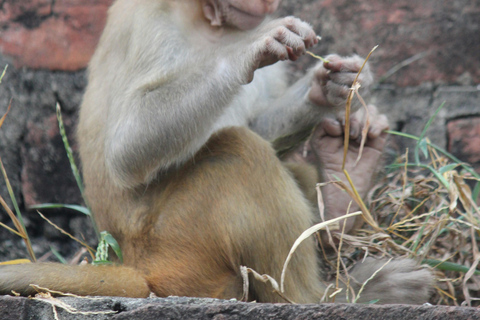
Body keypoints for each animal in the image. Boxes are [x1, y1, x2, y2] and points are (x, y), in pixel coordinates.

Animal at [0, 0, 436, 304]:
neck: (209, 22)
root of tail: (136, 262)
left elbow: (260, 121)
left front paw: (327, 87)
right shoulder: (151, 21)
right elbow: (127, 147)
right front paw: (251, 49)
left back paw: (339, 194)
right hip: (180, 243)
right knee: (239, 152)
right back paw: (336, 296)